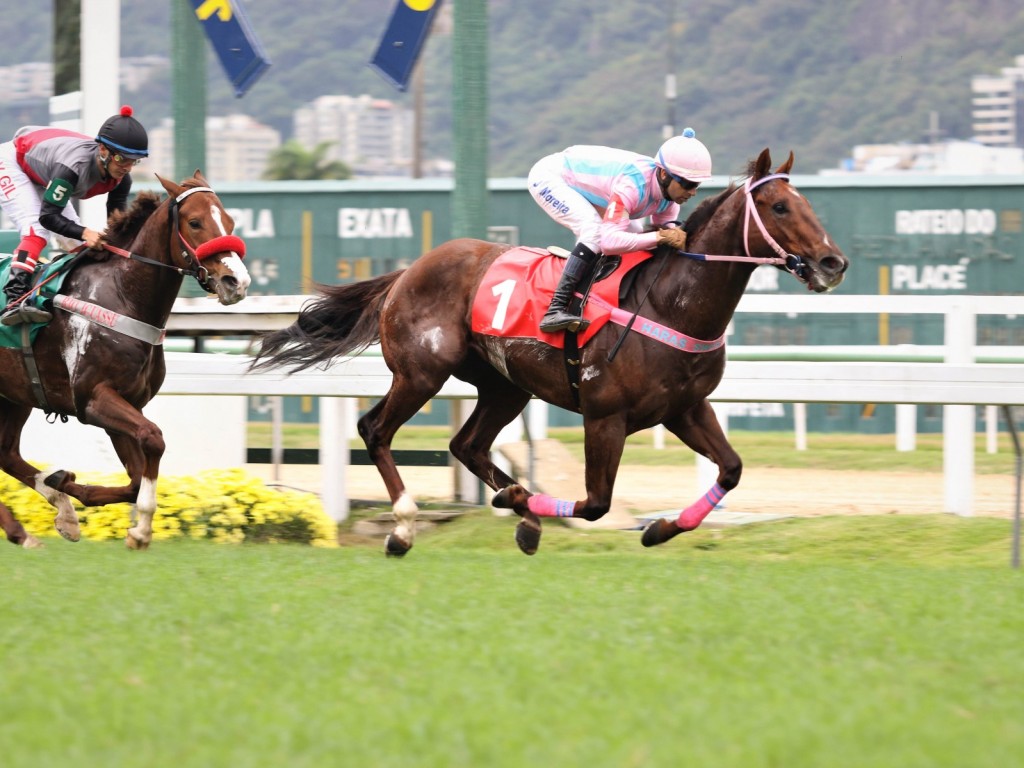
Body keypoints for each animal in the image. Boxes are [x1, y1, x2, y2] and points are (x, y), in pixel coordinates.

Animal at [0, 171, 249, 548]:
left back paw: (38, 521)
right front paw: (142, 528)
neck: (124, 295)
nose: (237, 282)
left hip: (15, 395)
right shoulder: (94, 399)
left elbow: (134, 478)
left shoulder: (126, 403)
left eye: (230, 222)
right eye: (194, 222)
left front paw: (67, 491)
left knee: (7, 453)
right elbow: (154, 438)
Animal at [249, 148, 847, 561]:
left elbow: (731, 469)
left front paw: (658, 529)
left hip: (505, 386)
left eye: (809, 205)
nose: (832, 263)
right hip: (422, 372)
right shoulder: (605, 417)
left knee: (466, 446)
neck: (670, 304)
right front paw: (527, 508)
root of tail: (407, 272)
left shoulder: (685, 408)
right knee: (375, 430)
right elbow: (596, 504)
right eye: (779, 206)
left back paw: (518, 509)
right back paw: (404, 526)